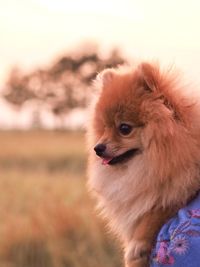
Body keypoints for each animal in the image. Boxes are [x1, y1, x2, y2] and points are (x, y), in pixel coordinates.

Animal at [86, 61, 200, 266]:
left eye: (124, 128)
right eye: (104, 128)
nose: (97, 148)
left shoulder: (182, 187)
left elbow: (155, 212)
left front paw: (136, 246)